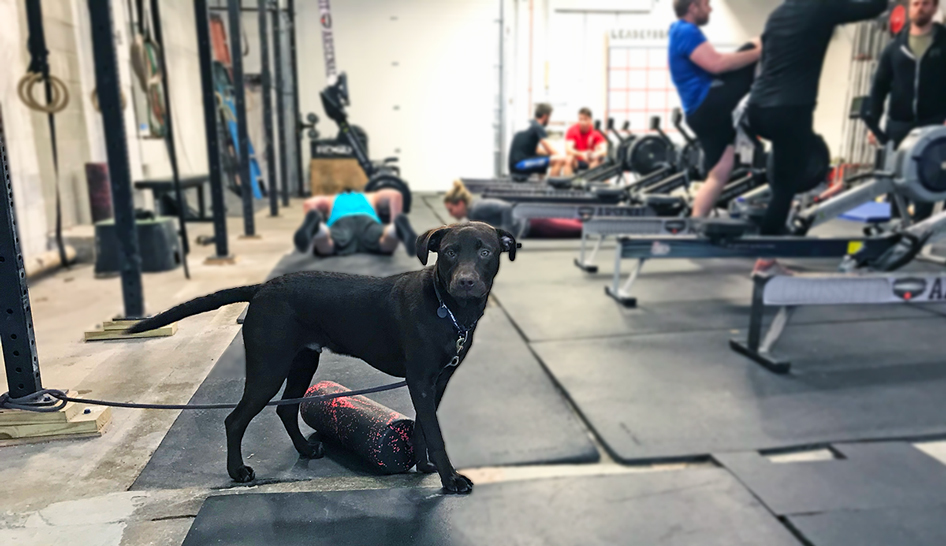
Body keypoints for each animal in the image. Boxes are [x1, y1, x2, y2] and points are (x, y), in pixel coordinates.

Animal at [127, 219, 516, 490]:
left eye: (485, 252)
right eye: (449, 252)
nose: (465, 281)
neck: (445, 308)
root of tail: (262, 288)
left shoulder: (436, 383)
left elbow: (423, 427)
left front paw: (424, 468)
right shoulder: (419, 381)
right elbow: (435, 433)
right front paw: (450, 481)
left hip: (302, 362)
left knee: (285, 409)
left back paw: (304, 449)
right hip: (268, 368)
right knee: (235, 420)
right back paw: (237, 471)